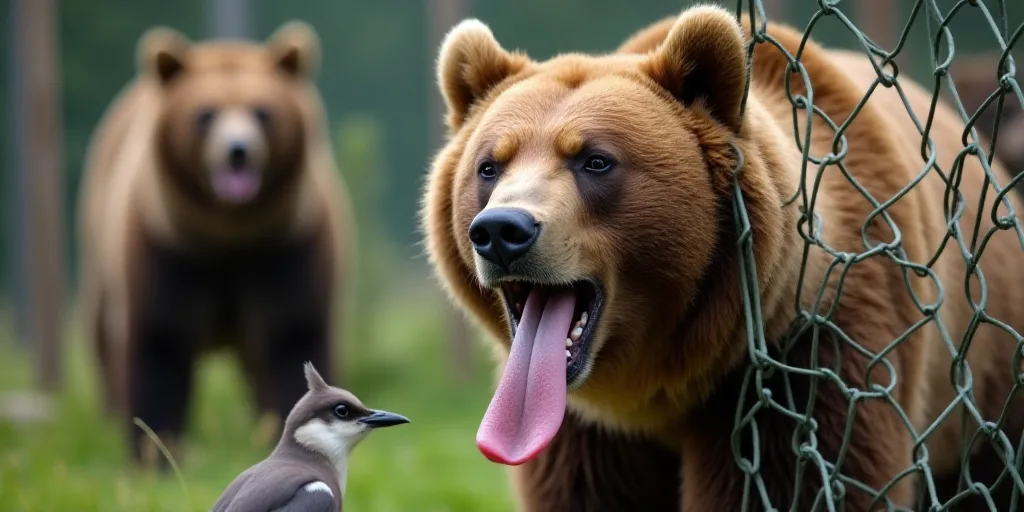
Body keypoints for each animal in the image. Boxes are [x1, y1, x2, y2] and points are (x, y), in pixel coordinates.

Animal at [77, 21, 353, 465]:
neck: (228, 233)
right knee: (102, 330)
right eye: (205, 114)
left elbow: (291, 335)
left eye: (262, 111)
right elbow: (160, 341)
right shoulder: (169, 250)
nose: (237, 151)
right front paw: (156, 450)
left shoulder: (286, 248)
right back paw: (109, 412)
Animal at [421, 6, 1024, 511]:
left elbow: (799, 480)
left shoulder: (809, 361)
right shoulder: (584, 431)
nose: (502, 231)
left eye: (595, 160)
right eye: (489, 165)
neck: (657, 387)